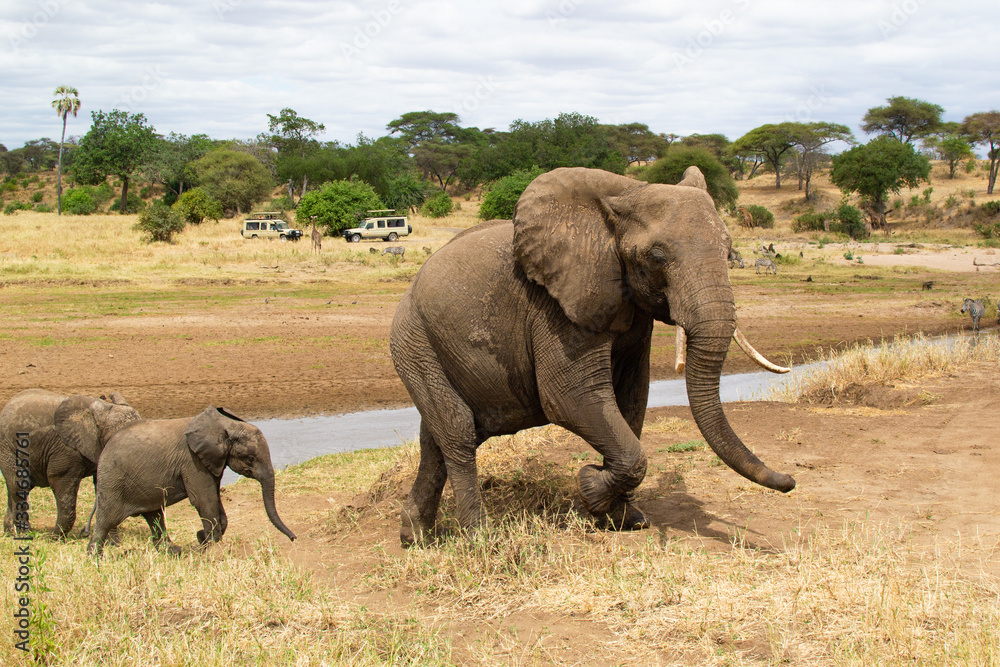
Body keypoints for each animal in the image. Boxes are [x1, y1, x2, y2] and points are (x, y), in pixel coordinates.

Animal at [0, 389, 141, 537]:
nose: (85, 532)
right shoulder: (65, 449)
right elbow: (61, 481)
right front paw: (55, 537)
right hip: (8, 449)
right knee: (18, 486)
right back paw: (25, 533)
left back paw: (10, 533)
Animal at [87, 406, 296, 555]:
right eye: (251, 458)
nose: (294, 539)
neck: (223, 425)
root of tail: (104, 450)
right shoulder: (192, 461)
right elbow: (204, 499)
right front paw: (211, 545)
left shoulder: (211, 461)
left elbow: (215, 497)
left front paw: (205, 540)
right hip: (113, 481)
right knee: (107, 519)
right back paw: (95, 557)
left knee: (154, 516)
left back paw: (173, 552)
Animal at [389, 166, 794, 546]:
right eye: (657, 257)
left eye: (728, 253)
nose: (790, 480)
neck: (626, 194)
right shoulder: (557, 307)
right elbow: (571, 399)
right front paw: (590, 487)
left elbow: (632, 397)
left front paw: (626, 519)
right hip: (413, 340)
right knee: (458, 433)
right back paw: (479, 539)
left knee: (439, 438)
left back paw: (415, 536)